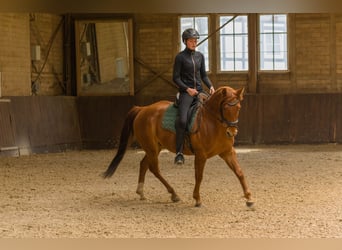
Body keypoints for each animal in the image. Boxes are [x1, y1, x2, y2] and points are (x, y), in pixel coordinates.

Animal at [104, 86, 254, 207]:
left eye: (238, 108)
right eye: (226, 107)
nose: (232, 132)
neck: (213, 123)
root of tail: (142, 109)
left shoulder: (227, 152)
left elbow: (239, 172)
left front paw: (249, 198)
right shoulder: (201, 155)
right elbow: (199, 176)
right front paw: (197, 199)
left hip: (155, 148)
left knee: (144, 164)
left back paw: (141, 192)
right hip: (151, 148)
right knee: (154, 169)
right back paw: (173, 194)